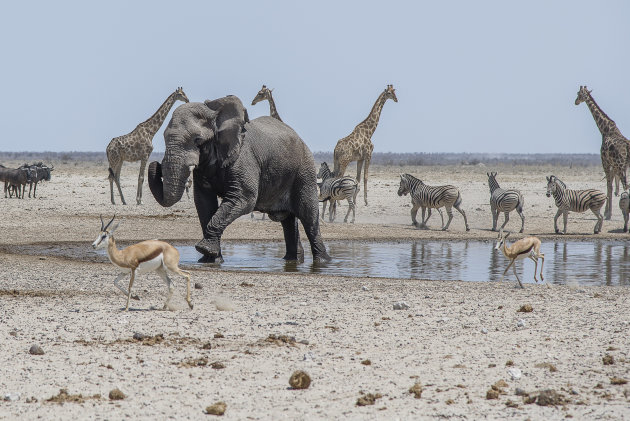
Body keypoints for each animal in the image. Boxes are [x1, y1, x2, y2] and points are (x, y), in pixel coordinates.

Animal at [148, 95, 330, 262]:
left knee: (309, 217)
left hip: (304, 171)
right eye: (164, 137)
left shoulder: (244, 157)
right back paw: (292, 260)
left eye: (197, 140)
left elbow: (243, 198)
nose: (155, 164)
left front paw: (205, 250)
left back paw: (322, 261)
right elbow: (204, 202)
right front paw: (210, 260)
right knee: (288, 221)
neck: (216, 114)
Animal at [576, 87, 630, 221]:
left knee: (625, 185)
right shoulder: (612, 165)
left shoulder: (605, 162)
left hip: (620, 165)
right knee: (626, 185)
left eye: (578, 94)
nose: (576, 101)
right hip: (623, 165)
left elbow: (609, 185)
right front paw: (607, 212)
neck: (604, 129)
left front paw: (608, 214)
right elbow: (610, 185)